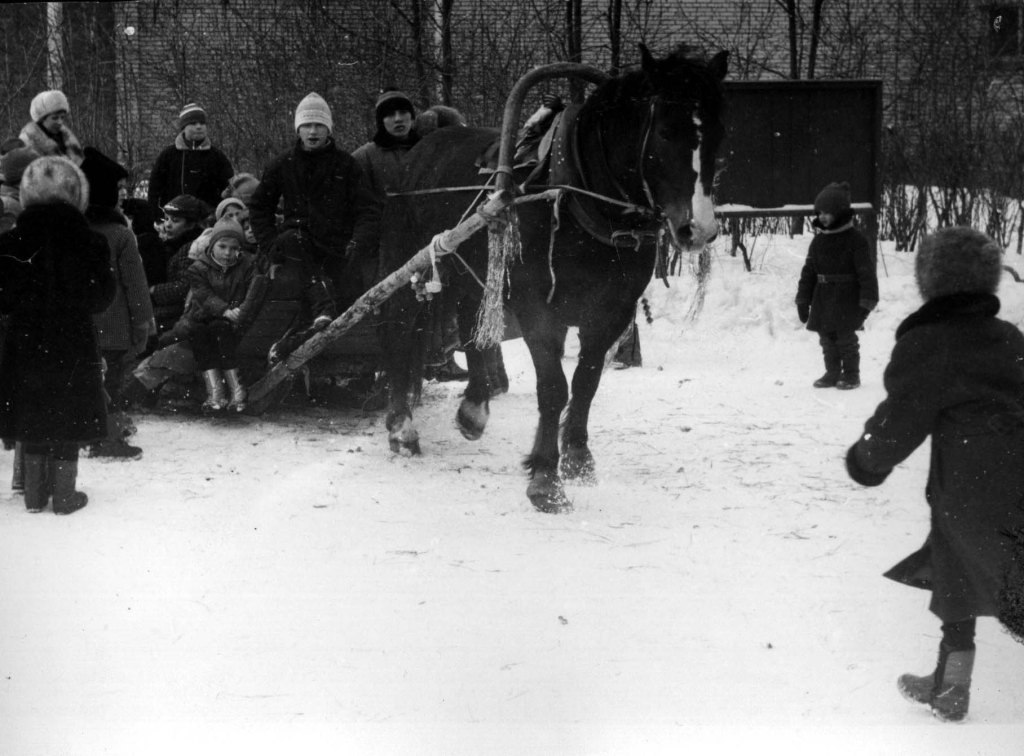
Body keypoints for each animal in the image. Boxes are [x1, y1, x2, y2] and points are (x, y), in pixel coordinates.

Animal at [378, 44, 729, 510]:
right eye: (667, 132)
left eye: (718, 135)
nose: (698, 229)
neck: (576, 195)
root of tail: (420, 148)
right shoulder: (539, 310)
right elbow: (553, 388)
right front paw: (545, 477)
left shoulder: (612, 312)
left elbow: (586, 382)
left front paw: (578, 458)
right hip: (412, 263)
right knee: (400, 330)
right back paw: (402, 426)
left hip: (476, 274)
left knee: (473, 328)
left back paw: (474, 409)